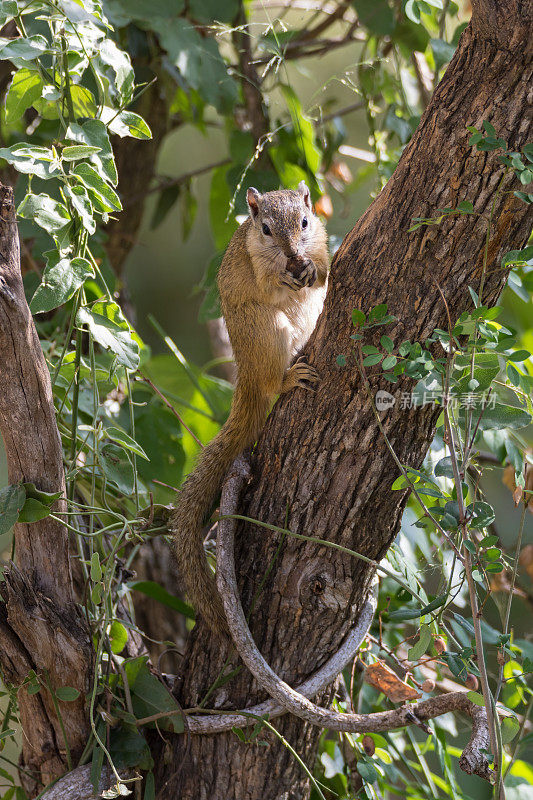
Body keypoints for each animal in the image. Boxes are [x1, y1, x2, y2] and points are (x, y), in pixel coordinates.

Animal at [170, 183, 328, 636]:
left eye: (306, 221)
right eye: (265, 229)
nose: (293, 254)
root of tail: (247, 372)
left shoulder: (323, 241)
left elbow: (327, 268)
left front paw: (312, 269)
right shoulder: (257, 266)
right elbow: (267, 281)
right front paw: (284, 276)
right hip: (264, 331)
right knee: (272, 381)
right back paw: (286, 379)